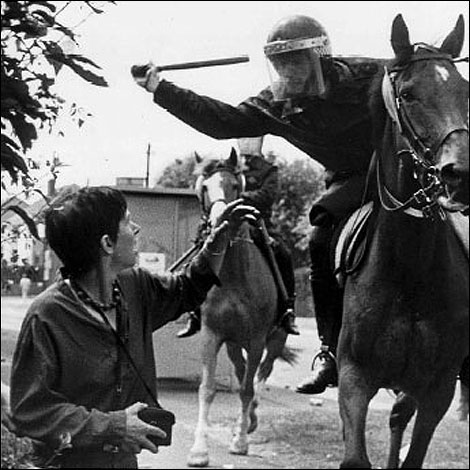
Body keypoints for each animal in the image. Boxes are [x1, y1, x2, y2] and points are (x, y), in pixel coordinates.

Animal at [186, 150, 294, 466]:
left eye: (235, 185)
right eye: (204, 187)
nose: (220, 220)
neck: (233, 276)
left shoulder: (257, 339)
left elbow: (247, 389)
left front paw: (240, 442)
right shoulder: (211, 335)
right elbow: (207, 389)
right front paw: (199, 450)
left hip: (274, 339)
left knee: (260, 374)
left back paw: (248, 422)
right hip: (233, 344)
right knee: (242, 368)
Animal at [338, 12, 470, 468]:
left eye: (466, 91)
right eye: (409, 94)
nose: (460, 173)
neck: (409, 269)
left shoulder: (438, 388)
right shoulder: (354, 376)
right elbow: (355, 457)